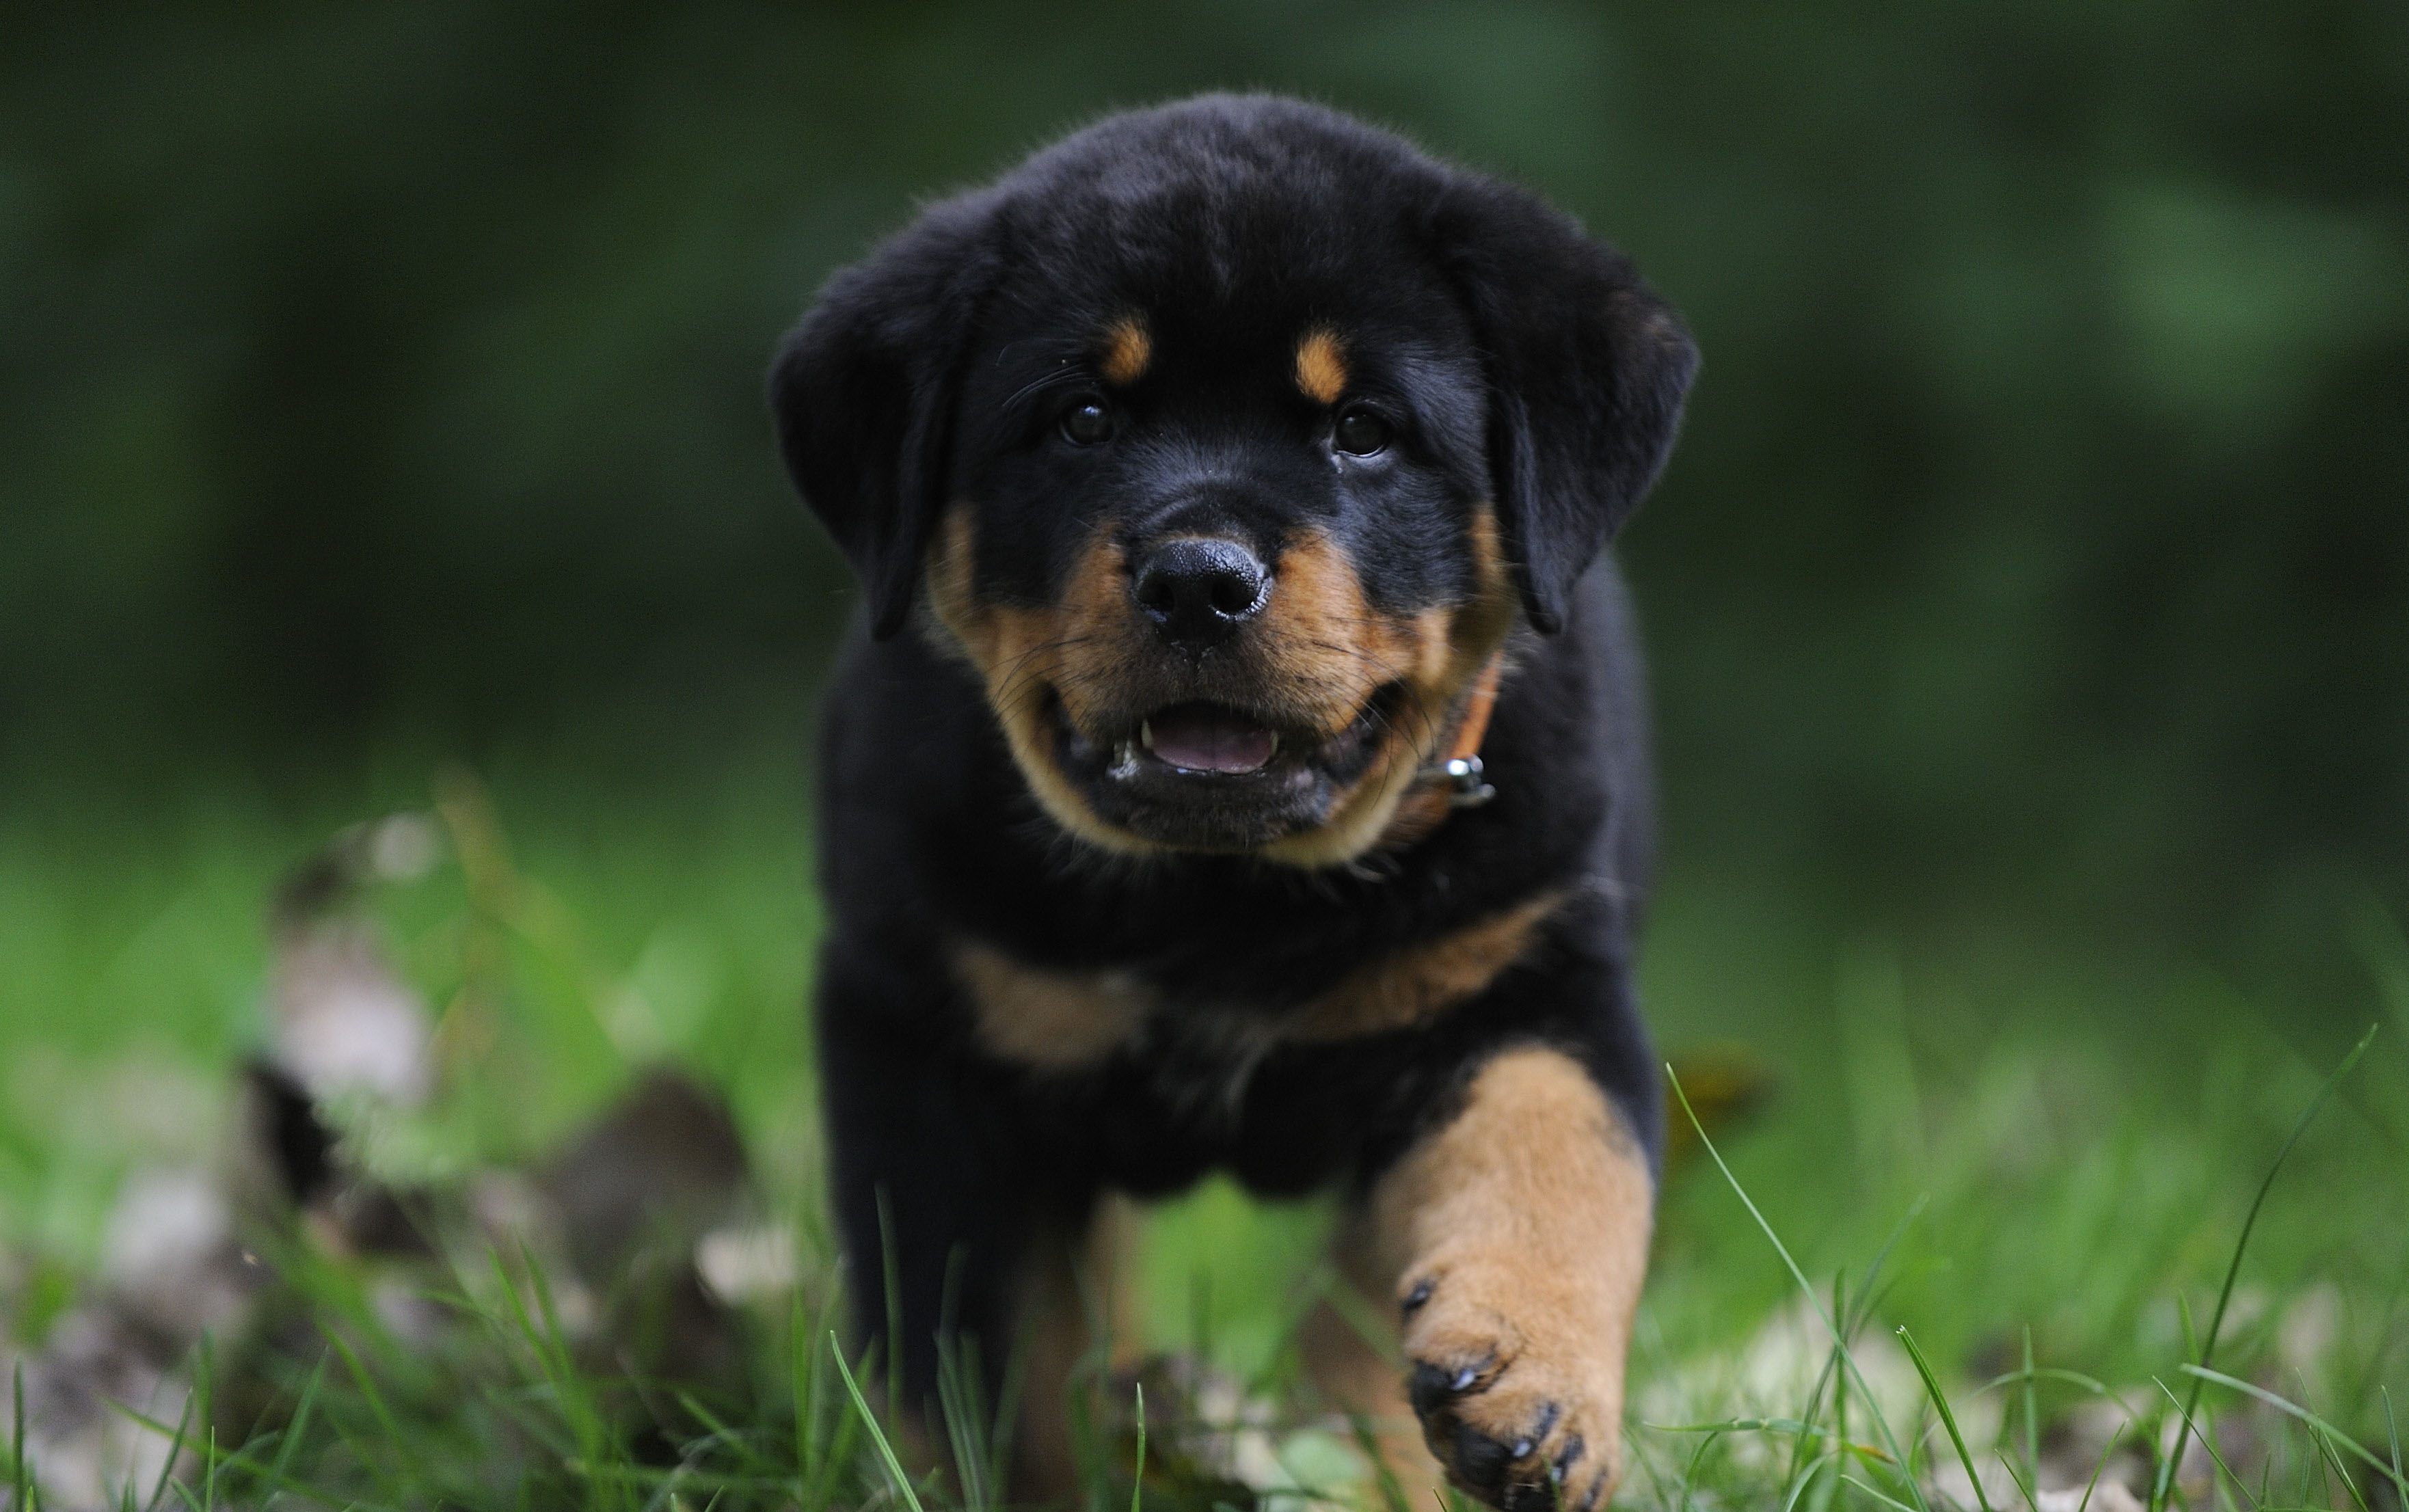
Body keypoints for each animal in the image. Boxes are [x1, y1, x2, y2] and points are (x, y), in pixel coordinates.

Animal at [770, 97, 1695, 1512]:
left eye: (1362, 427)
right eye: (1082, 418)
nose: (1198, 579)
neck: (1223, 899)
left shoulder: (1528, 972)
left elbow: (1559, 1152)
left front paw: (1529, 1385)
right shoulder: (924, 1025)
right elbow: (959, 1336)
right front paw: (967, 1474)